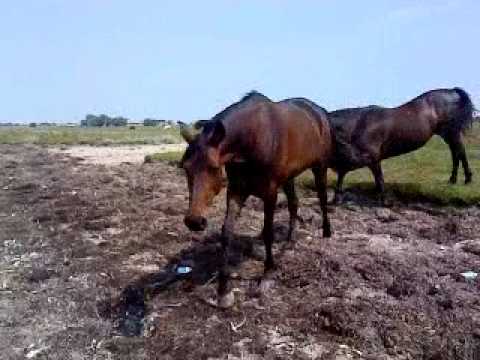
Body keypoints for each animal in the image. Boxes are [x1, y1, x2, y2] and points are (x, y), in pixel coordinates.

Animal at [178, 91, 332, 308]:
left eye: (213, 167)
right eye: (185, 167)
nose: (194, 221)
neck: (253, 139)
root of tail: (318, 111)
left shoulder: (270, 192)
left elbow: (268, 232)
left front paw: (267, 275)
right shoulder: (236, 190)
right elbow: (227, 232)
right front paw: (223, 291)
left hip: (320, 167)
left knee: (322, 198)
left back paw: (326, 232)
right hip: (289, 177)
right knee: (294, 204)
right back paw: (290, 242)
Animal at [328, 87, 474, 202]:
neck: (358, 124)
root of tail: (452, 91)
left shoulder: (371, 157)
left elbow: (376, 178)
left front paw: (384, 199)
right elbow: (343, 172)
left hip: (452, 132)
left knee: (460, 152)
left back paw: (467, 179)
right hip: (448, 134)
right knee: (455, 153)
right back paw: (453, 179)